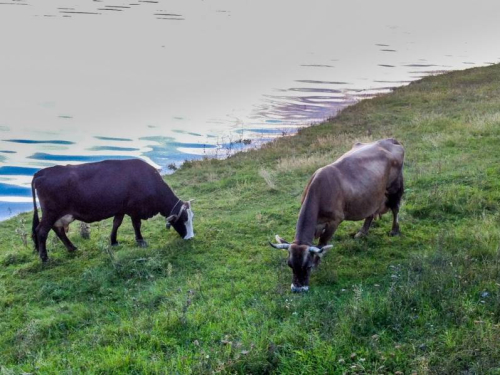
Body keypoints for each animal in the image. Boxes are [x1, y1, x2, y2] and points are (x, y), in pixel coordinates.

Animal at [31, 160, 194, 262]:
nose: (190, 237)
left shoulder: (121, 208)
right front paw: (141, 241)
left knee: (57, 229)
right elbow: (136, 225)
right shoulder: (134, 208)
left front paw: (114, 241)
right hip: (51, 212)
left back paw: (72, 248)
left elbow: (117, 223)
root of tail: (42, 172)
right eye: (183, 219)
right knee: (41, 231)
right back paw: (44, 258)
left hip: (60, 215)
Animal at [272, 139, 404, 294]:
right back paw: (362, 232)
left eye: (308, 266)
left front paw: (317, 262)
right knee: (371, 211)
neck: (320, 191)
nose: (298, 289)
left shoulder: (334, 221)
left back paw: (394, 230)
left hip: (395, 186)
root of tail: (388, 140)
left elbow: (322, 243)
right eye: (290, 265)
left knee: (395, 208)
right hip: (372, 194)